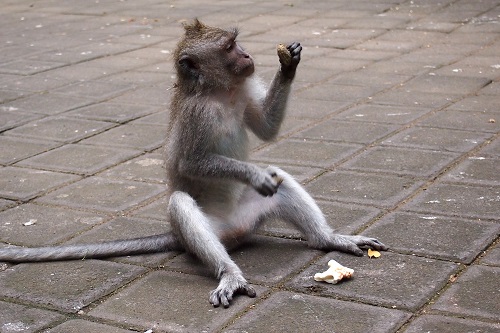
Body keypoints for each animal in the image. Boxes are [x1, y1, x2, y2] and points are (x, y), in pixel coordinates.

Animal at [0, 19, 386, 308]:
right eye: (229, 47)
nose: (248, 54)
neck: (219, 92)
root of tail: (233, 229)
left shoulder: (243, 91)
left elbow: (265, 128)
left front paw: (288, 63)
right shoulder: (197, 115)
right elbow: (191, 163)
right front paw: (252, 174)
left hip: (250, 215)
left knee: (282, 181)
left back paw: (329, 239)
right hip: (206, 230)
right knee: (182, 204)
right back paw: (230, 273)